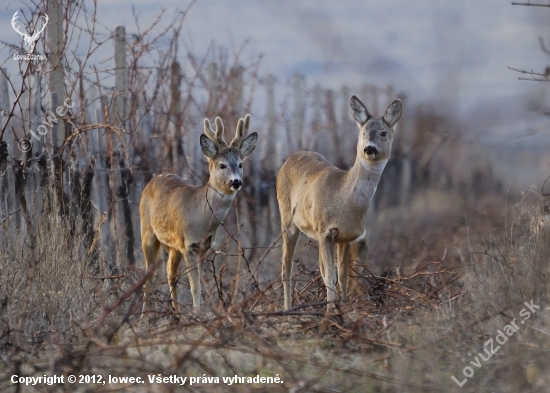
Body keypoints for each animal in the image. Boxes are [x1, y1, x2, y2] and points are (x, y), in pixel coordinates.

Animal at [139, 115, 258, 314]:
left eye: (240, 164)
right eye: (222, 165)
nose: (236, 182)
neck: (202, 220)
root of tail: (152, 180)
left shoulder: (204, 248)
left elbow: (201, 285)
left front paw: (200, 311)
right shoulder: (188, 245)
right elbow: (195, 286)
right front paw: (197, 314)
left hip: (173, 245)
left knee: (171, 273)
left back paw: (176, 314)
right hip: (147, 232)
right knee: (149, 277)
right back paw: (145, 316)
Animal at [278, 95, 404, 312]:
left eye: (383, 132)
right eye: (363, 132)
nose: (369, 148)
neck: (344, 199)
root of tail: (288, 159)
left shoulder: (346, 236)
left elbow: (343, 275)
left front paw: (343, 305)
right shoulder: (325, 231)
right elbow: (331, 275)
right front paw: (330, 311)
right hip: (287, 218)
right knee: (286, 266)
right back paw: (287, 309)